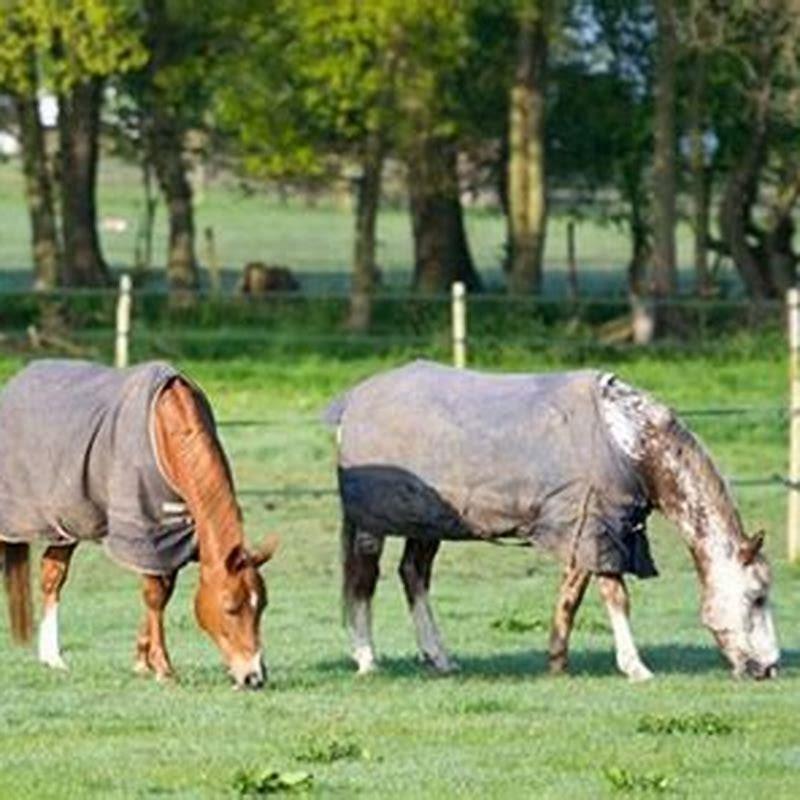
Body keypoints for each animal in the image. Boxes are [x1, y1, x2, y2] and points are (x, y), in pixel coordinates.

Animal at [0, 360, 279, 689]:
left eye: (262, 606)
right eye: (230, 608)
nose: (254, 677)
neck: (167, 427)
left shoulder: (172, 535)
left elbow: (162, 592)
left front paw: (143, 661)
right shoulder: (147, 530)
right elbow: (155, 595)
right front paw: (163, 667)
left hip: (67, 522)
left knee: (52, 574)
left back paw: (51, 658)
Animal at [324, 360, 779, 681]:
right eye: (757, 597)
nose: (770, 667)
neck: (630, 440)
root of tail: (352, 402)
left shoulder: (583, 529)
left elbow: (571, 596)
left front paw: (558, 661)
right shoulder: (599, 527)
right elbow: (616, 596)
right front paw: (635, 667)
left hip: (427, 524)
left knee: (413, 574)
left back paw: (439, 658)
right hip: (374, 525)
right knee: (364, 581)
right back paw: (367, 660)